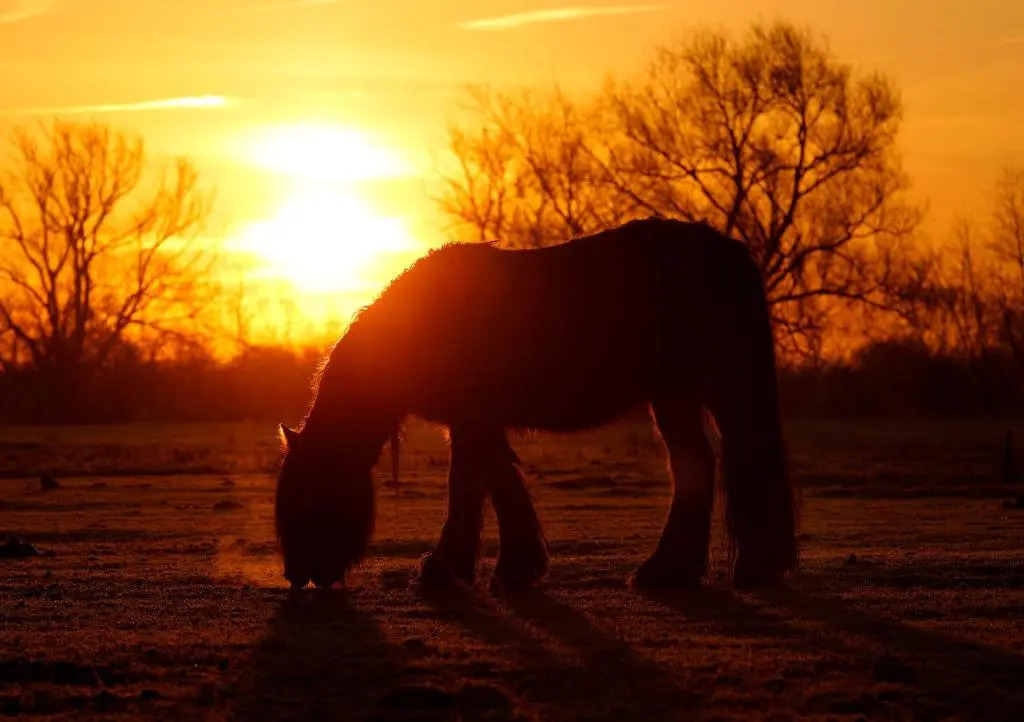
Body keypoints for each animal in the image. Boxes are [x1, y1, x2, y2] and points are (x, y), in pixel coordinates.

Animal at [275, 217, 798, 591]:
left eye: (308, 493)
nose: (298, 576)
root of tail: (726, 252)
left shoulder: (474, 419)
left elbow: (481, 483)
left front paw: (469, 569)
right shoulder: (470, 423)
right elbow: (483, 482)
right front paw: (481, 566)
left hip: (684, 391)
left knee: (706, 464)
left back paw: (689, 569)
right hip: (684, 395)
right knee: (704, 464)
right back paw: (688, 569)